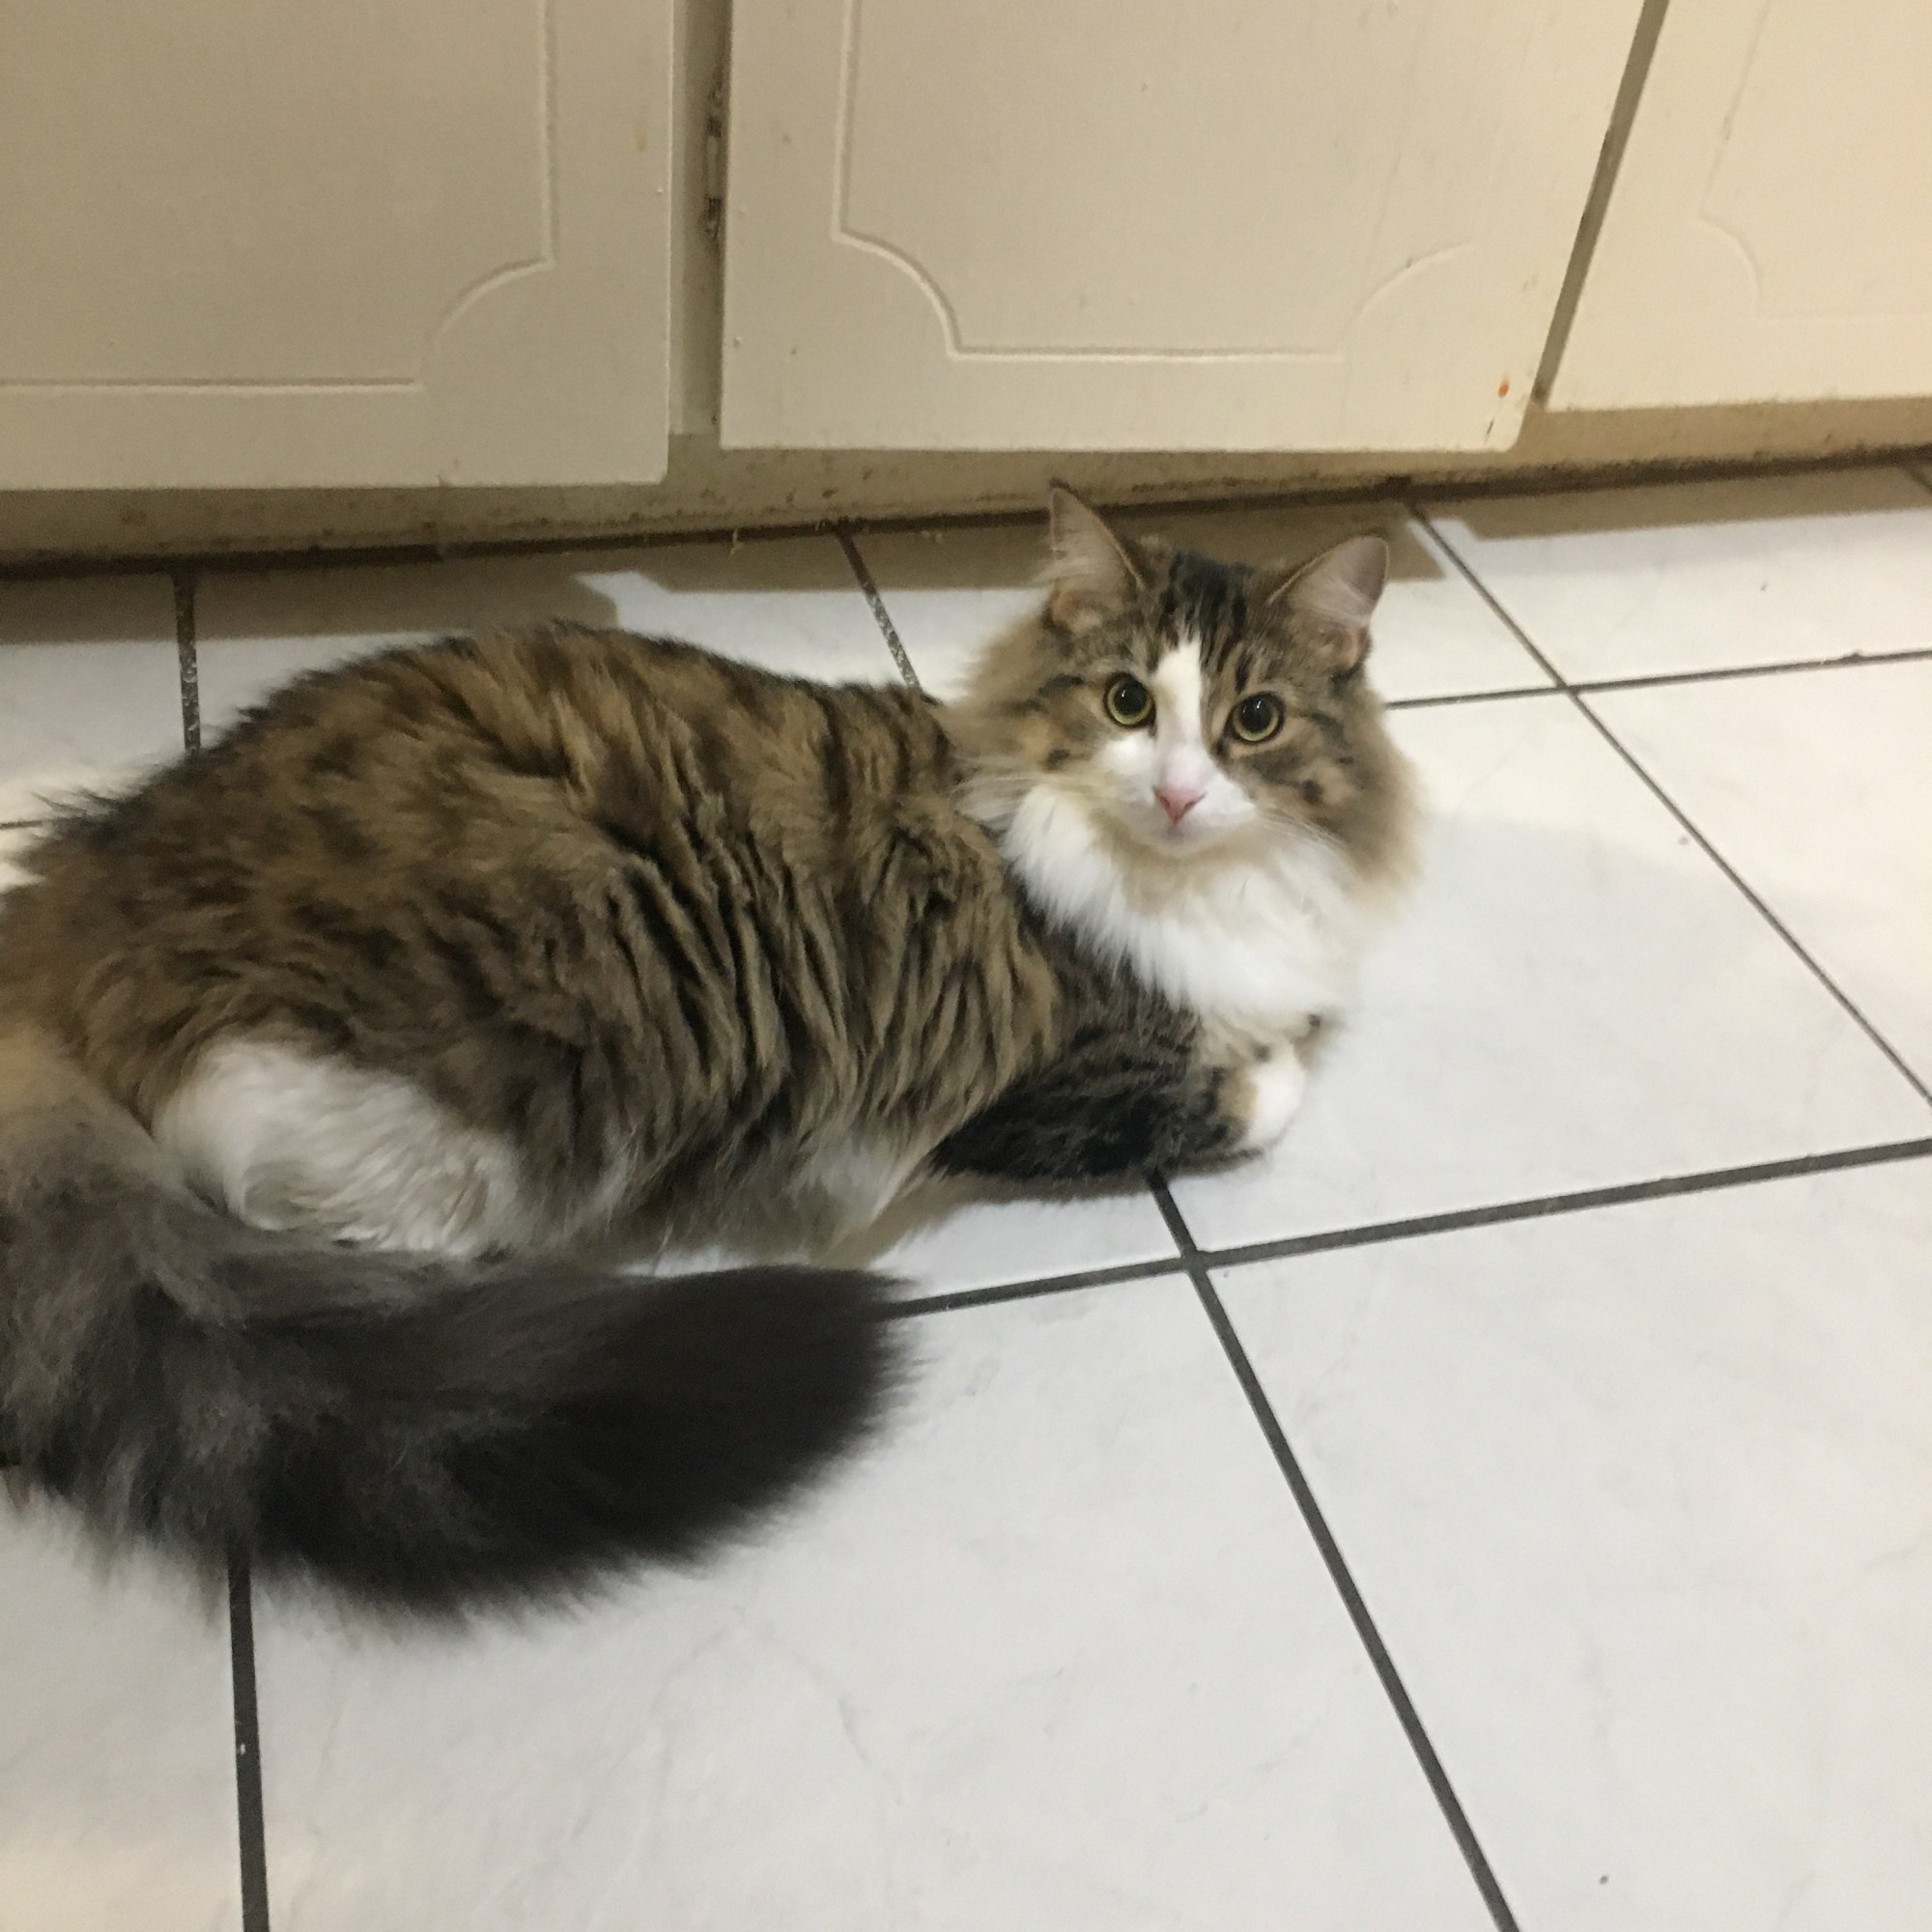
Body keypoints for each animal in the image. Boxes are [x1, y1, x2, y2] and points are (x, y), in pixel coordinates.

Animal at [0, 489, 1413, 1613]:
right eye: (1126, 703)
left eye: (1254, 720)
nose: (1175, 791)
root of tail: (77, 891)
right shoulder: (1054, 1091)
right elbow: (1256, 1084)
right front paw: (1276, 1054)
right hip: (462, 1106)